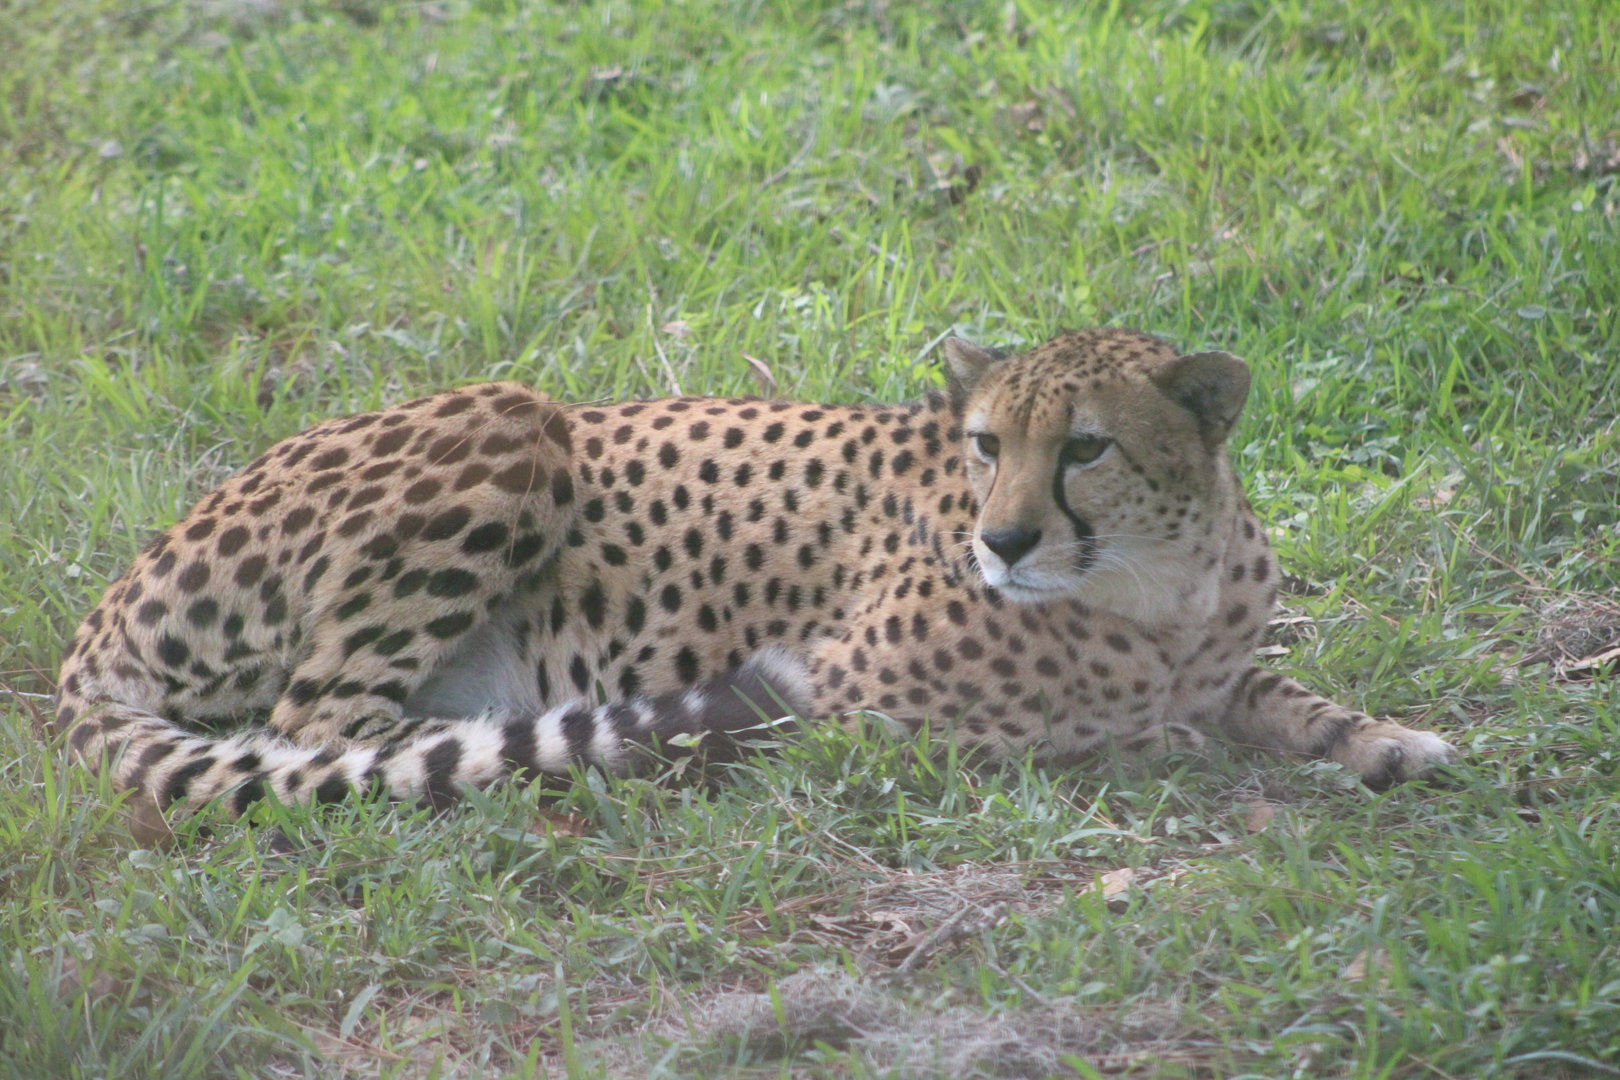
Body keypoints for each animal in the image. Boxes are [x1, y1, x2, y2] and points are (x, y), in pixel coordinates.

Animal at [55, 328, 1458, 820]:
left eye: (1088, 448)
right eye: (987, 445)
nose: (1002, 541)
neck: (1154, 587)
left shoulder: (1217, 654)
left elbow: (1280, 694)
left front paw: (1388, 740)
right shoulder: (852, 697)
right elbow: (1070, 737)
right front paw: (1155, 745)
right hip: (512, 420)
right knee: (320, 731)